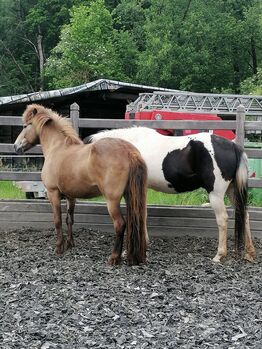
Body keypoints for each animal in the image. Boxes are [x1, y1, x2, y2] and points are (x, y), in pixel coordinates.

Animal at [13, 104, 147, 266]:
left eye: (25, 126)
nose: (15, 147)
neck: (58, 148)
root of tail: (129, 151)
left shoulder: (53, 193)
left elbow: (57, 220)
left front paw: (58, 248)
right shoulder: (71, 196)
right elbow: (69, 219)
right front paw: (70, 244)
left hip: (112, 200)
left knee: (120, 224)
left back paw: (114, 257)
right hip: (130, 196)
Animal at [86, 125, 256, 260]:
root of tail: (233, 146)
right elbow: (143, 214)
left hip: (216, 194)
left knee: (223, 219)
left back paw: (219, 255)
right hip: (232, 191)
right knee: (245, 215)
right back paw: (249, 252)